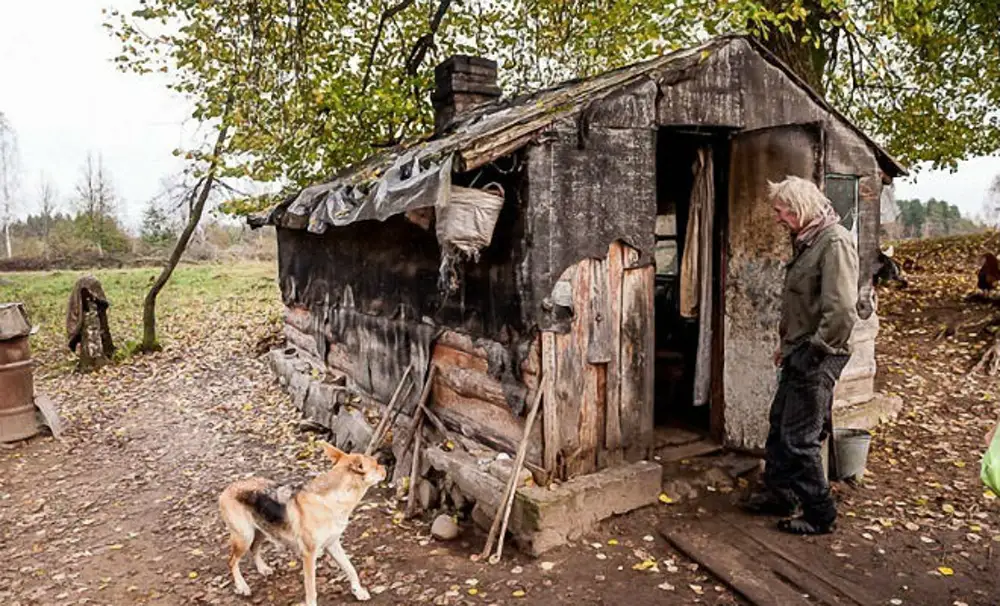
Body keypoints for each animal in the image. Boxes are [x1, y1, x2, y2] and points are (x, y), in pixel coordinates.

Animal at [219, 444, 386, 604]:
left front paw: (358, 591)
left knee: (254, 549)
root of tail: (227, 489)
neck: (332, 502)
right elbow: (311, 589)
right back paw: (242, 586)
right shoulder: (309, 554)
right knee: (231, 561)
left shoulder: (333, 544)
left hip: (261, 532)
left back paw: (263, 569)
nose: (385, 468)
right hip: (245, 537)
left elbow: (351, 569)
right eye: (376, 464)